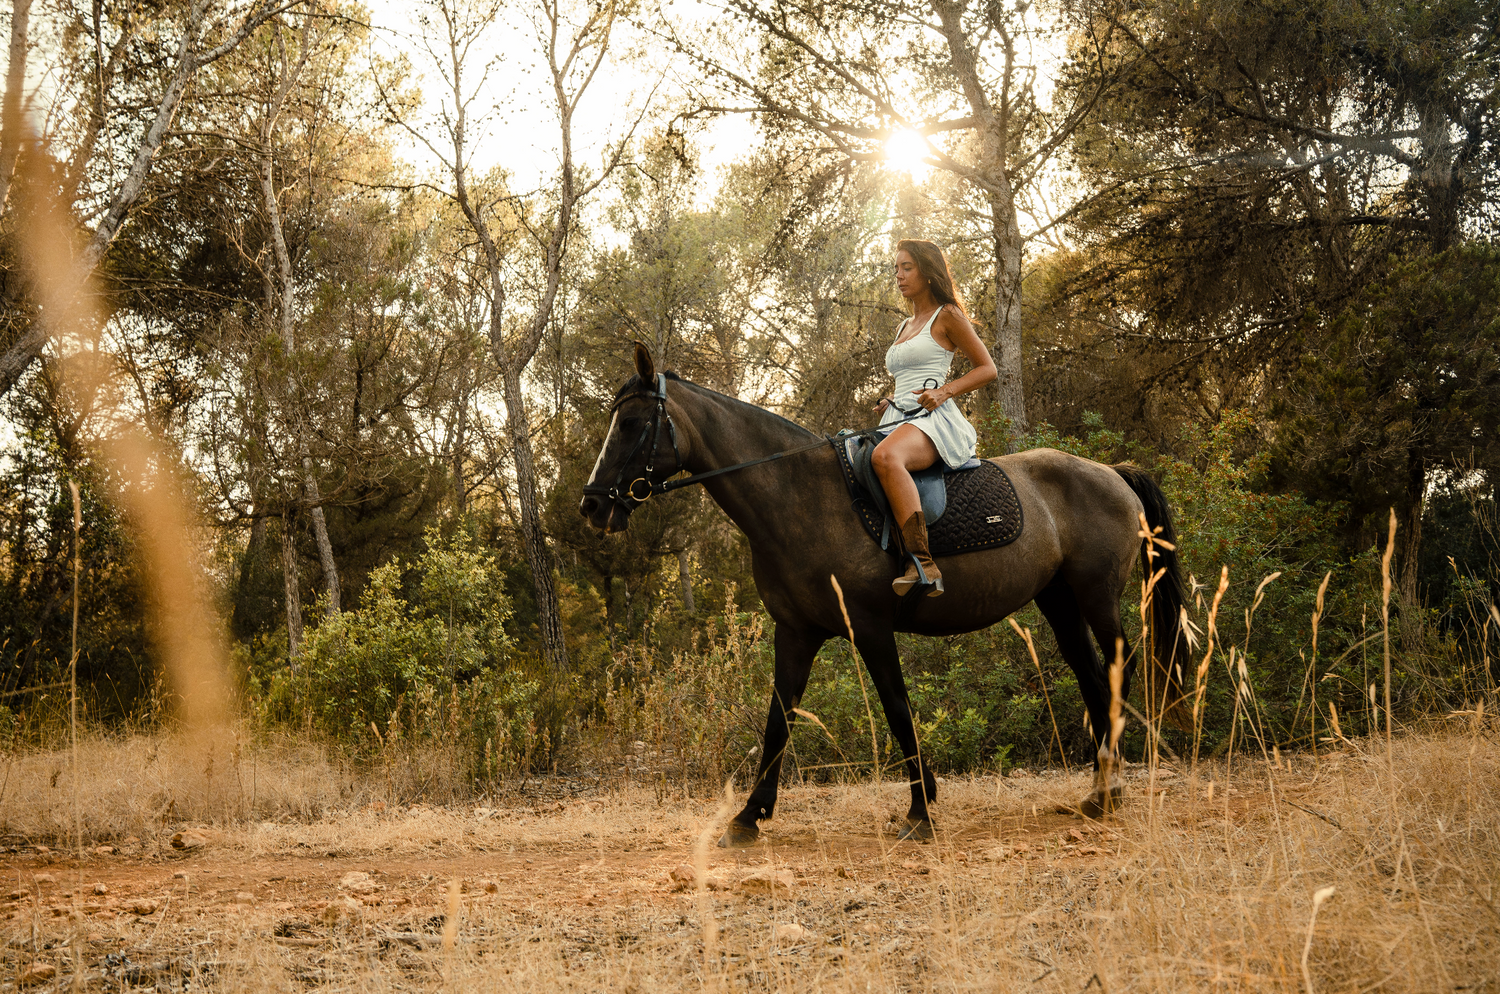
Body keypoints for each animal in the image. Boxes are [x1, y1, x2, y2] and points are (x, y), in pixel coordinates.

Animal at [579, 344, 1188, 846]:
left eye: (631, 423)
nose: (592, 506)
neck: (801, 497)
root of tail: (1111, 472)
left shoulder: (870, 628)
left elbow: (896, 709)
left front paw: (921, 812)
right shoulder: (796, 632)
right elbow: (779, 719)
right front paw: (748, 817)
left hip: (1095, 596)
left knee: (1115, 669)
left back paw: (1108, 786)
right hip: (1058, 602)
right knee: (1092, 676)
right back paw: (1101, 789)